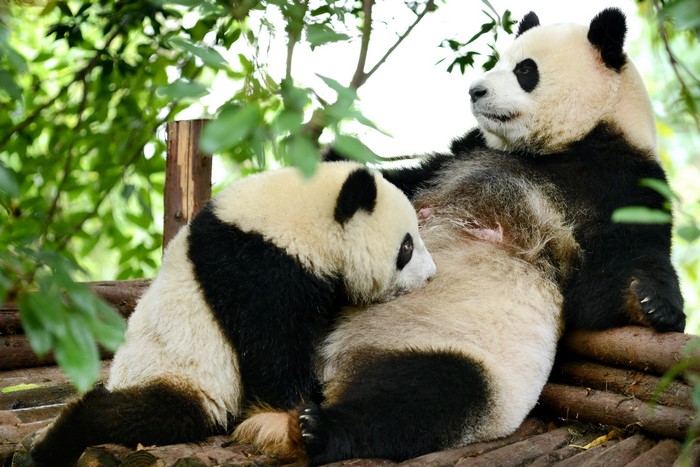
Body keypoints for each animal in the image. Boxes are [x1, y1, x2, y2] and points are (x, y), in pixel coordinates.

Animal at [23, 161, 436, 465]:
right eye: (406, 246)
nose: (432, 275)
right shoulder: (261, 269)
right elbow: (272, 351)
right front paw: (298, 405)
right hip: (181, 375)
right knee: (139, 414)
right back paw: (53, 442)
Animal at [232, 8, 686, 465]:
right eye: (502, 60)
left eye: (525, 71)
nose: (475, 90)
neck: (563, 147)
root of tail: (335, 371)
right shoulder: (462, 154)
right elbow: (402, 182)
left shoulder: (623, 180)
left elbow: (605, 287)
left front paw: (654, 305)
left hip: (460, 358)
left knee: (421, 400)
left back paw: (318, 429)